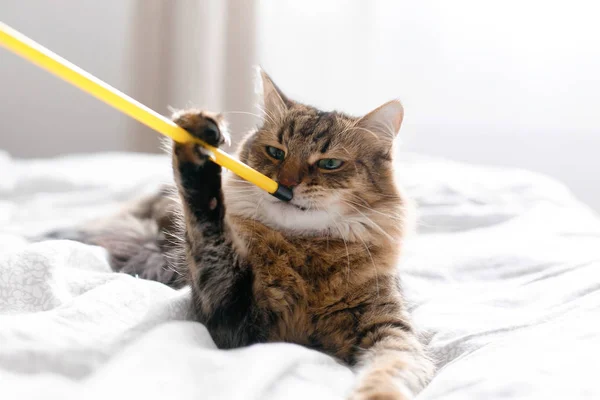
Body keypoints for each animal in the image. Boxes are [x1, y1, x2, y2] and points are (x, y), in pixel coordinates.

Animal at [45, 70, 432, 398]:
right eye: (276, 152)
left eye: (329, 164)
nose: (285, 185)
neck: (304, 251)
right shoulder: (234, 318)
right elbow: (208, 221)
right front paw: (198, 148)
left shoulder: (387, 325)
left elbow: (392, 366)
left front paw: (378, 393)